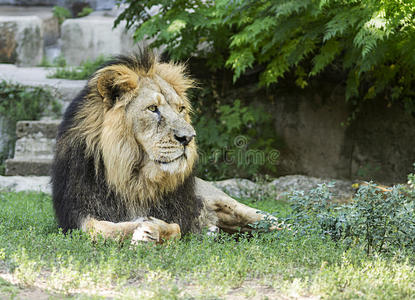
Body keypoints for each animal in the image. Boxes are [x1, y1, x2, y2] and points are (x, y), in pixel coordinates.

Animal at [51, 47, 280, 244]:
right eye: (153, 108)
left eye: (180, 109)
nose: (188, 137)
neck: (133, 178)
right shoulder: (77, 215)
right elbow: (102, 228)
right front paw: (140, 228)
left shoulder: (179, 215)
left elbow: (175, 228)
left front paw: (151, 230)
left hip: (237, 207)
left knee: (276, 222)